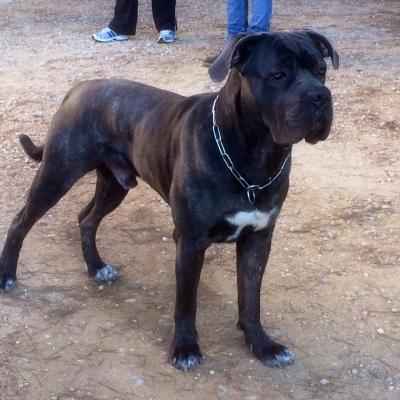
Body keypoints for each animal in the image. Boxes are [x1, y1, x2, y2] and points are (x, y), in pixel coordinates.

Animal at [0, 30, 339, 371]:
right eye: (277, 75)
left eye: (321, 70)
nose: (321, 96)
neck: (255, 158)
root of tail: (79, 87)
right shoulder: (190, 241)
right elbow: (186, 302)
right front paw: (186, 348)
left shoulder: (258, 240)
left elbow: (250, 298)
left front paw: (263, 345)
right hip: (57, 174)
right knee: (20, 221)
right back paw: (7, 275)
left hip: (114, 185)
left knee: (87, 218)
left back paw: (96, 267)